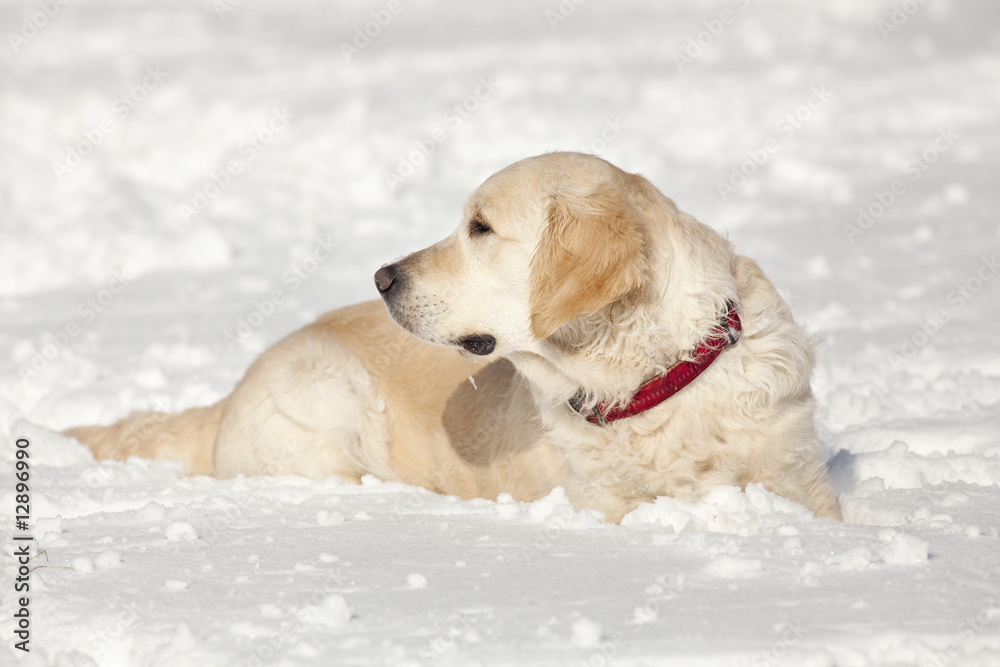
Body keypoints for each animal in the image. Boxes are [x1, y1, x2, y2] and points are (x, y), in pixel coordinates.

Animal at [64, 154, 844, 524]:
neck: (656, 382)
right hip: (326, 390)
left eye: (481, 227)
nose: (382, 276)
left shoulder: (799, 481)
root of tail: (227, 397)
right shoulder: (601, 504)